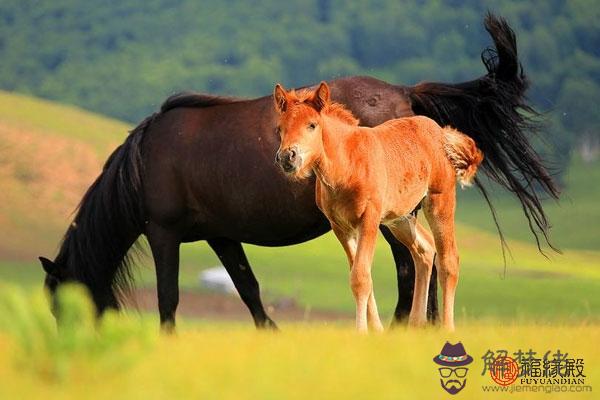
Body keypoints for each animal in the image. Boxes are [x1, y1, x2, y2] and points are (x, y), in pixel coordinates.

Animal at [274, 81, 482, 332]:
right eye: (280, 129)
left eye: (312, 125)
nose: (288, 157)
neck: (347, 165)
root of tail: (440, 133)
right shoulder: (341, 227)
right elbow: (362, 275)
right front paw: (377, 331)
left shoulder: (369, 219)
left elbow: (360, 277)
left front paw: (362, 332)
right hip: (401, 218)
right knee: (424, 249)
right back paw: (415, 325)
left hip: (439, 201)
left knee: (449, 260)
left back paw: (447, 328)